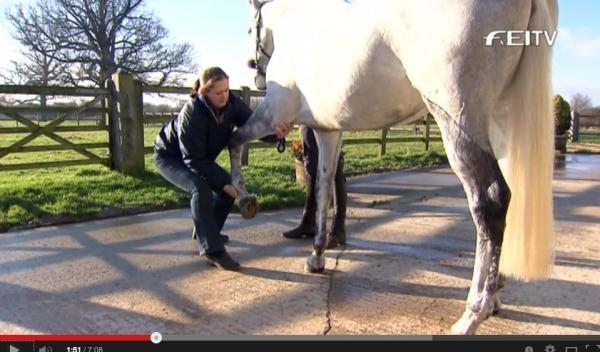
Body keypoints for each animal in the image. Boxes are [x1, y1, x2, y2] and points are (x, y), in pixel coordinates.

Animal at [230, 0, 556, 334]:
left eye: (250, 29)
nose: (256, 74)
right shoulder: (328, 131)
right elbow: (323, 188)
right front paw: (317, 255)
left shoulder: (272, 115)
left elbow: (235, 141)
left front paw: (245, 199)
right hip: (502, 120)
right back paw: (495, 296)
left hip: (457, 120)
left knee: (490, 202)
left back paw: (472, 314)